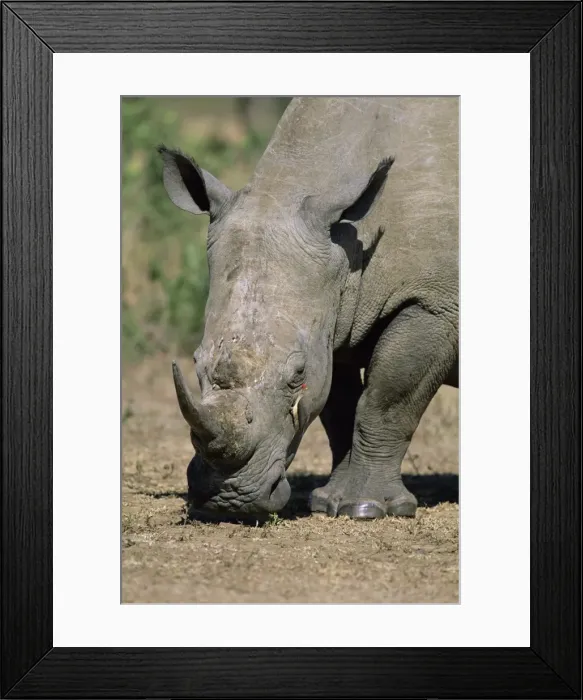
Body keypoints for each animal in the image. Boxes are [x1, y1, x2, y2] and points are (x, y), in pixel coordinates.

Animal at [159, 96, 458, 520]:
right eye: (197, 363)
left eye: (296, 375)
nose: (228, 499)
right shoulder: (336, 315)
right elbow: (339, 406)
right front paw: (328, 502)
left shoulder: (433, 303)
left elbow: (386, 401)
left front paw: (366, 509)